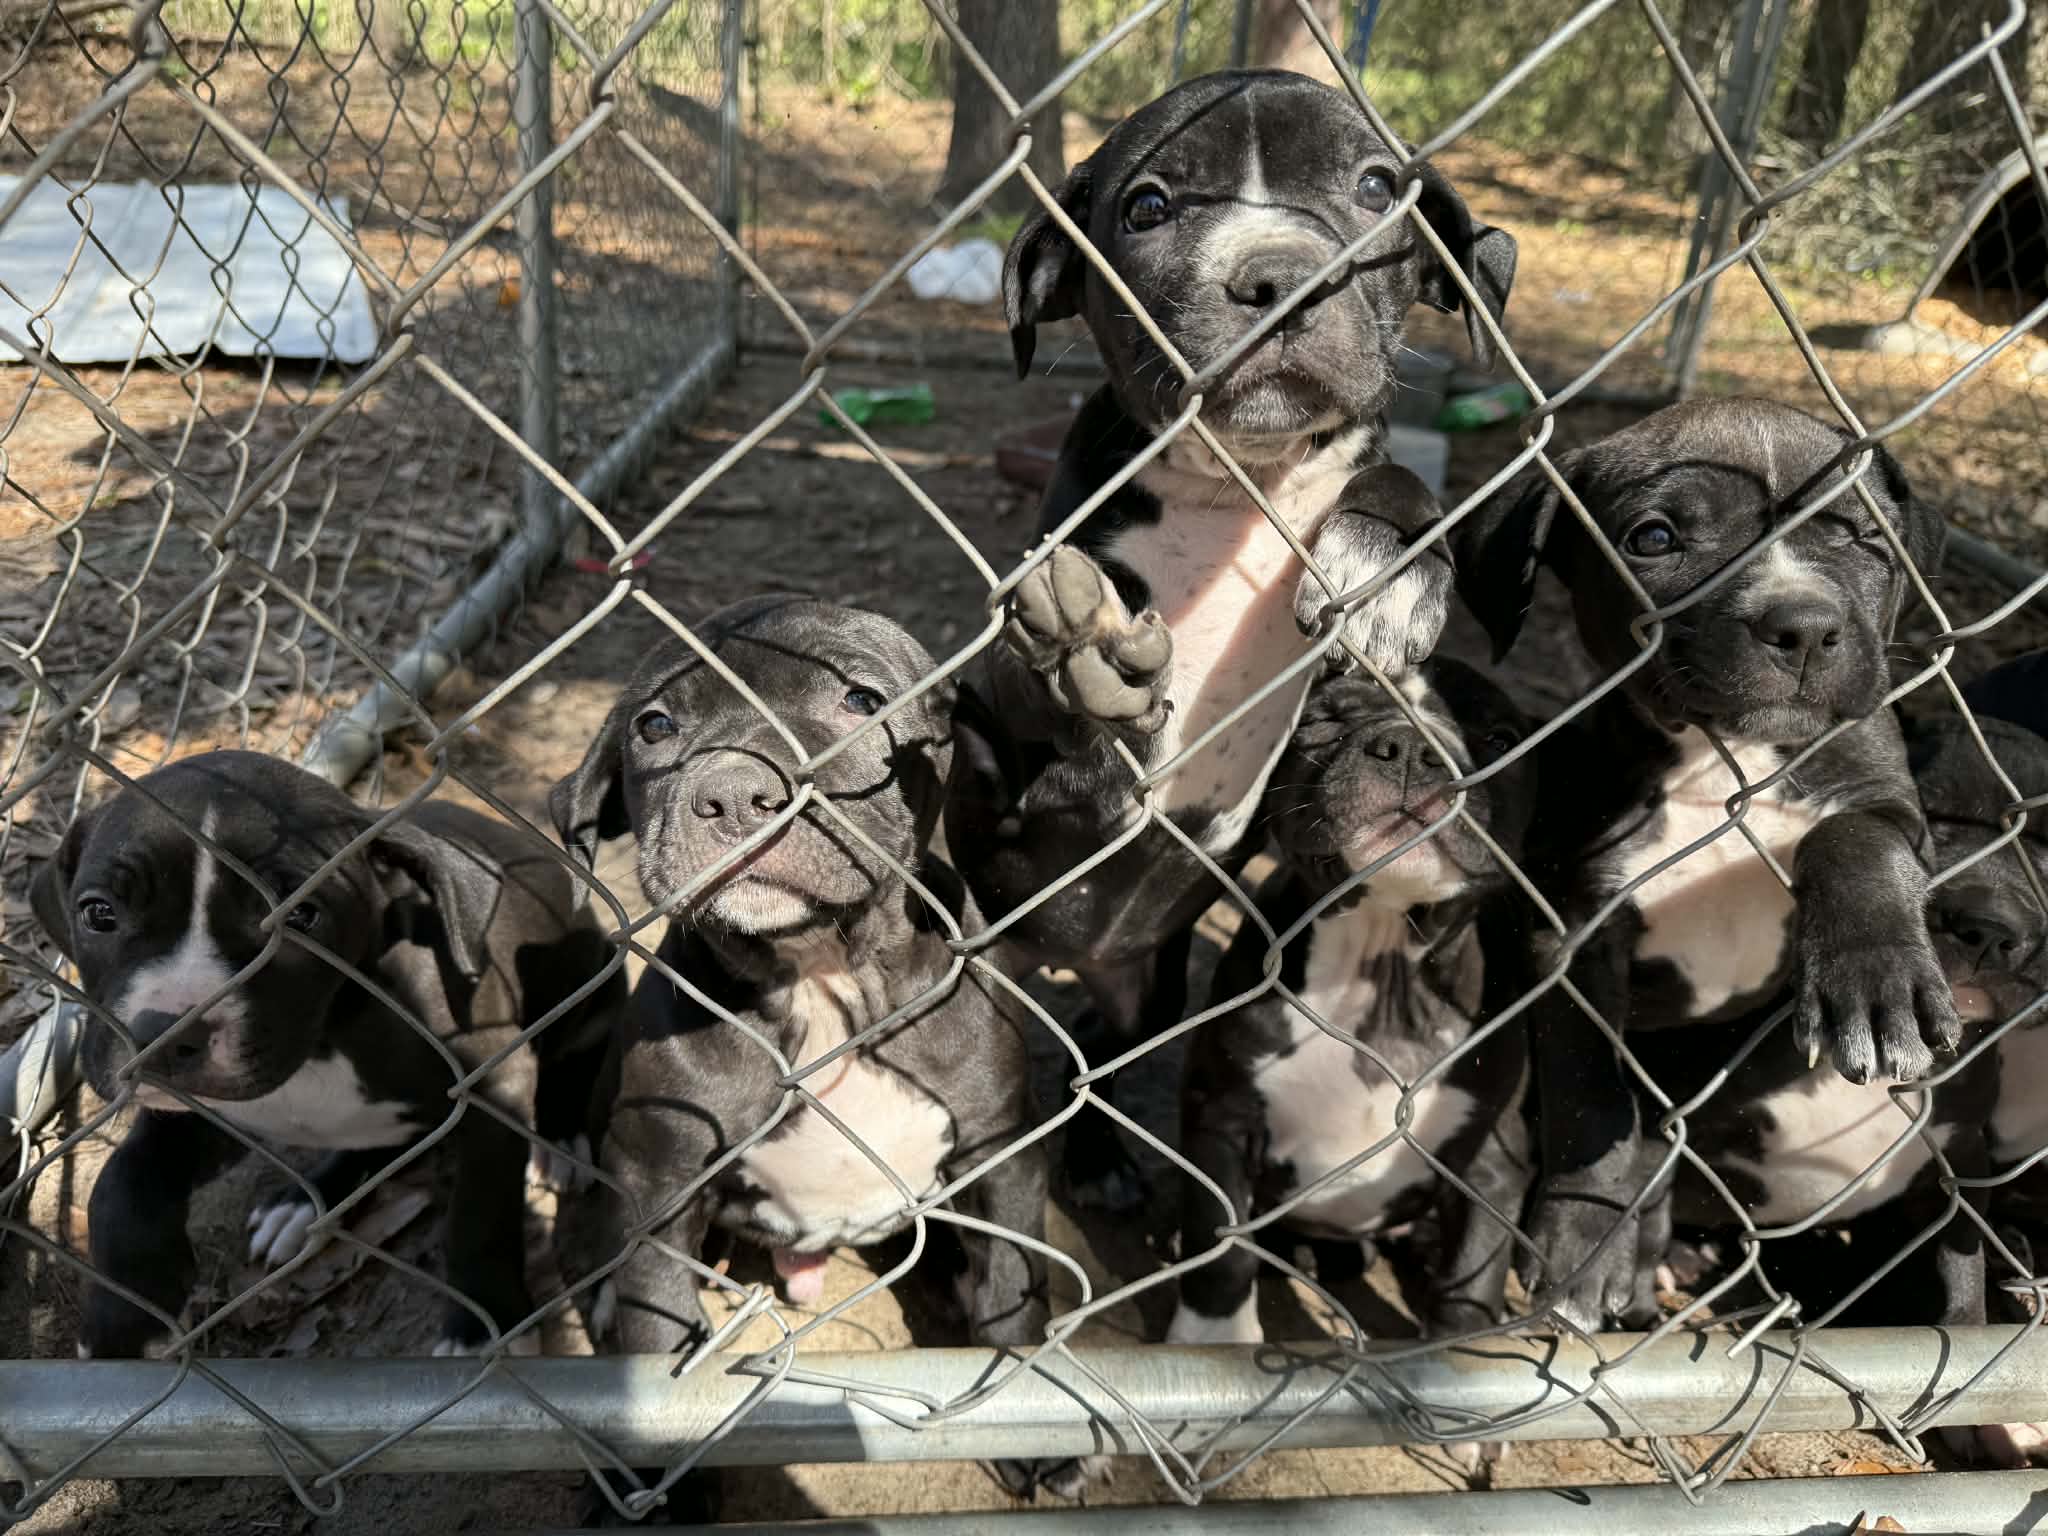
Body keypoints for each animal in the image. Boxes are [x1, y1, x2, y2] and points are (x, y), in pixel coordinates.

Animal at [30, 751, 621, 1358]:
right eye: (98, 914)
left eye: (300, 917)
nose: (164, 1035)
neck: (324, 1039)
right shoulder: (206, 1112)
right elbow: (120, 1180)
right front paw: (123, 1316)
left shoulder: (494, 1086)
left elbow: (481, 1211)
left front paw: (485, 1324)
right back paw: (302, 1204)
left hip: (595, 986)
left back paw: (561, 1141)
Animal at [548, 596, 1079, 1501]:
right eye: (655, 726)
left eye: (861, 700)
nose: (733, 793)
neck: (822, 976)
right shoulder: (659, 1175)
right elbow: (658, 1322)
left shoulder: (1003, 1147)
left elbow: (1015, 1282)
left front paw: (1031, 1420)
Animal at [950, 69, 1517, 1203]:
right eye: (1147, 207)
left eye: (1375, 188)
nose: (1283, 278)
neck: (1236, 486)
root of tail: (1065, 954)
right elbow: (1022, 677)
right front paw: (1078, 657)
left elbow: (1401, 480)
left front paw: (1382, 568)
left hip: (1151, 991)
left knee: (1098, 1046)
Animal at [1169, 658, 1534, 1345]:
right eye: (1322, 717)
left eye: (1501, 738)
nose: (1412, 749)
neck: (1379, 962)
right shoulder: (1223, 1116)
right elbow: (1220, 1246)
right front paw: (1213, 1337)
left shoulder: (1492, 1159)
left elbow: (1471, 1279)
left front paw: (1455, 1355)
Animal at [1452, 398, 1953, 1330]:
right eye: (1654, 537)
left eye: (1865, 537)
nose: (1804, 626)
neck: (1726, 763)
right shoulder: (1574, 930)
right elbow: (1587, 1085)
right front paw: (1584, 1237)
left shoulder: (1890, 807)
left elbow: (1851, 837)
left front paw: (1878, 982)